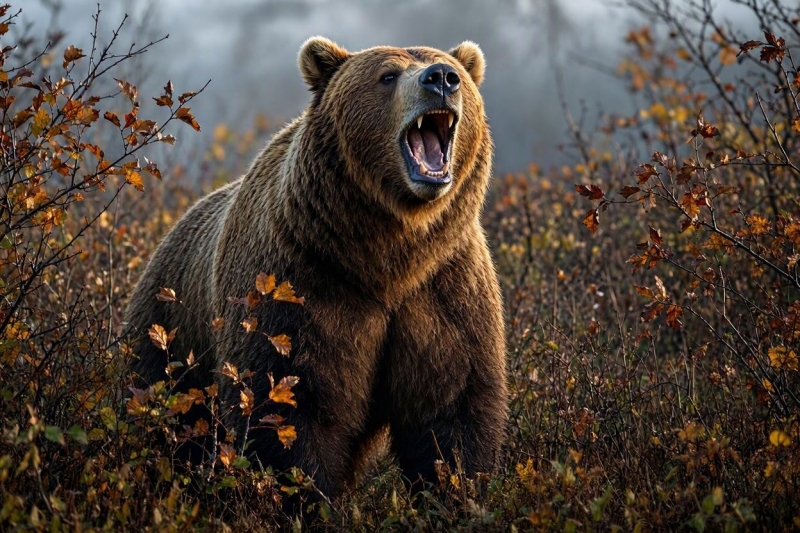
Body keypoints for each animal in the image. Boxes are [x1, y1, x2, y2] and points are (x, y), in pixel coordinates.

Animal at [124, 36, 507, 500]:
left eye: (457, 75)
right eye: (388, 75)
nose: (441, 79)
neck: (390, 254)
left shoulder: (444, 287)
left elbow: (454, 406)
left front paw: (454, 490)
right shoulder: (305, 281)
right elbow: (290, 402)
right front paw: (307, 494)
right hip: (168, 335)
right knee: (160, 415)